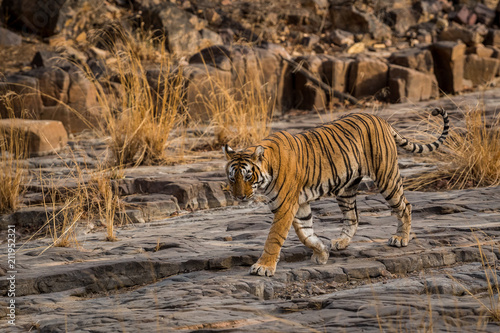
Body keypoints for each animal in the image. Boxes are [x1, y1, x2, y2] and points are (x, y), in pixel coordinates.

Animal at [223, 107, 450, 276]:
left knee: (405, 206)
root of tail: (380, 119)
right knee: (353, 217)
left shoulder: (286, 206)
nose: (239, 197)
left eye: (248, 177)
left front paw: (263, 267)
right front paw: (322, 253)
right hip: (346, 189)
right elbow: (305, 233)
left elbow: (274, 237)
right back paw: (341, 242)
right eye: (232, 177)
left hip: (386, 177)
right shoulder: (299, 204)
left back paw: (401, 238)